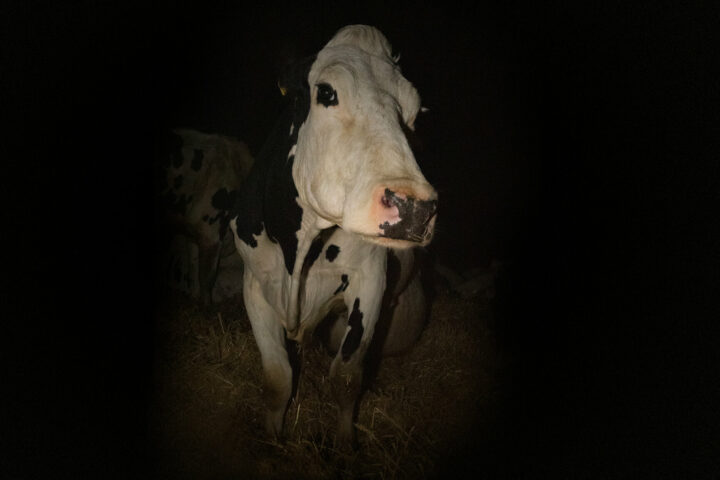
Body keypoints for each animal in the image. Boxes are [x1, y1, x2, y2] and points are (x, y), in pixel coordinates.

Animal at [158, 128, 254, 305]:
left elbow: (193, 268)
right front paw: (206, 306)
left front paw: (194, 299)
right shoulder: (211, 229)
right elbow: (206, 277)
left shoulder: (192, 232)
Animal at [229, 25, 438, 447]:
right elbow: (277, 377)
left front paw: (344, 446)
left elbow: (345, 377)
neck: (298, 251)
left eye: (413, 112)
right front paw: (273, 440)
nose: (415, 208)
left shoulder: (370, 280)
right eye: (326, 92)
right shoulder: (254, 282)